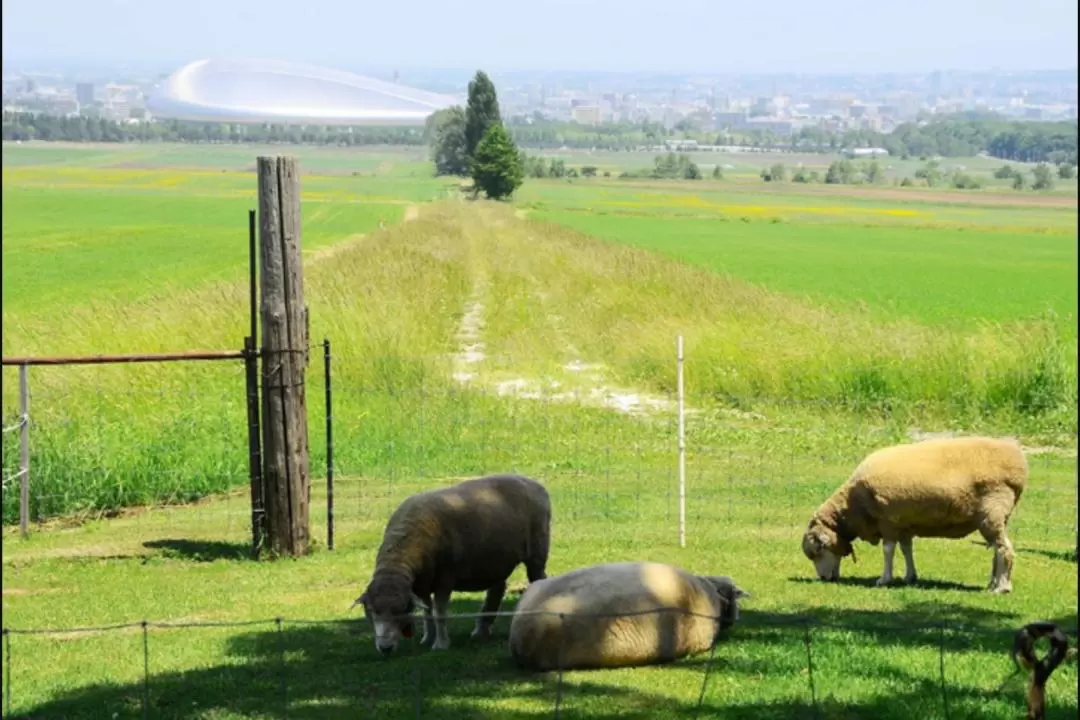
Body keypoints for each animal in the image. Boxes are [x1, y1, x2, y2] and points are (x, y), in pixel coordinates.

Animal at [354, 474, 552, 656]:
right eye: (370, 610)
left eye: (401, 610)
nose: (385, 648)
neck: (403, 554)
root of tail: (530, 481)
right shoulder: (422, 584)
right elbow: (427, 612)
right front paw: (427, 639)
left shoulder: (445, 577)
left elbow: (439, 612)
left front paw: (441, 644)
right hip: (496, 560)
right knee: (497, 589)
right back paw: (481, 630)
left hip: (537, 552)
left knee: (538, 579)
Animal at [803, 436, 1028, 595]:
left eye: (818, 550)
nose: (823, 579)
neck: (854, 505)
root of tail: (1019, 461)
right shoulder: (904, 524)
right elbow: (906, 549)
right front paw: (909, 576)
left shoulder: (887, 521)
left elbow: (888, 550)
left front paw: (884, 579)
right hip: (996, 516)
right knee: (997, 549)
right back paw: (993, 583)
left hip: (993, 510)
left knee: (1004, 549)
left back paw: (1002, 587)